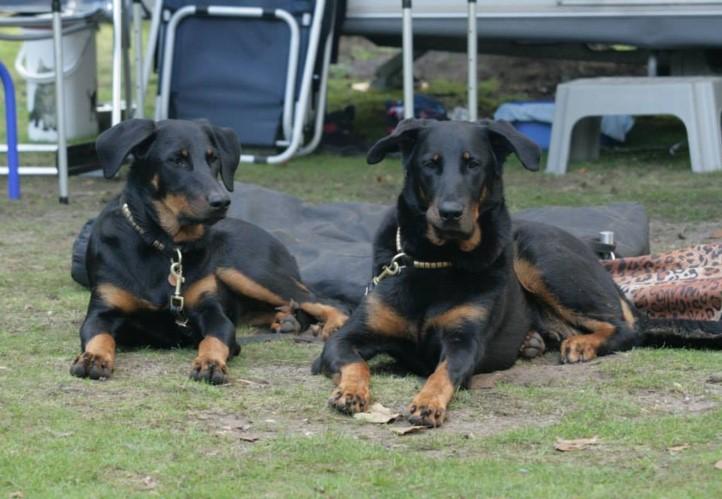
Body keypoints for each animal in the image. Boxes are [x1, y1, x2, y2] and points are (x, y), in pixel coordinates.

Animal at [71, 119, 348, 384]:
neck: (166, 246)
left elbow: (214, 340)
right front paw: (93, 358)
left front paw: (211, 363)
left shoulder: (212, 314)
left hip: (246, 270)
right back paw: (288, 320)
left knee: (324, 300)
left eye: (213, 158)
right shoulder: (102, 310)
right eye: (176, 160)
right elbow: (99, 335)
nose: (222, 202)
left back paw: (331, 325)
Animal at [312, 119, 640, 428]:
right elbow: (356, 364)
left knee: (626, 327)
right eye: (430, 163)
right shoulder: (347, 337)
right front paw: (350, 392)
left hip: (541, 259)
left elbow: (443, 373)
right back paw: (533, 339)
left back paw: (581, 344)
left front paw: (428, 403)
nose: (450, 212)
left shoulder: (464, 341)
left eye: (474, 164)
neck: (438, 260)